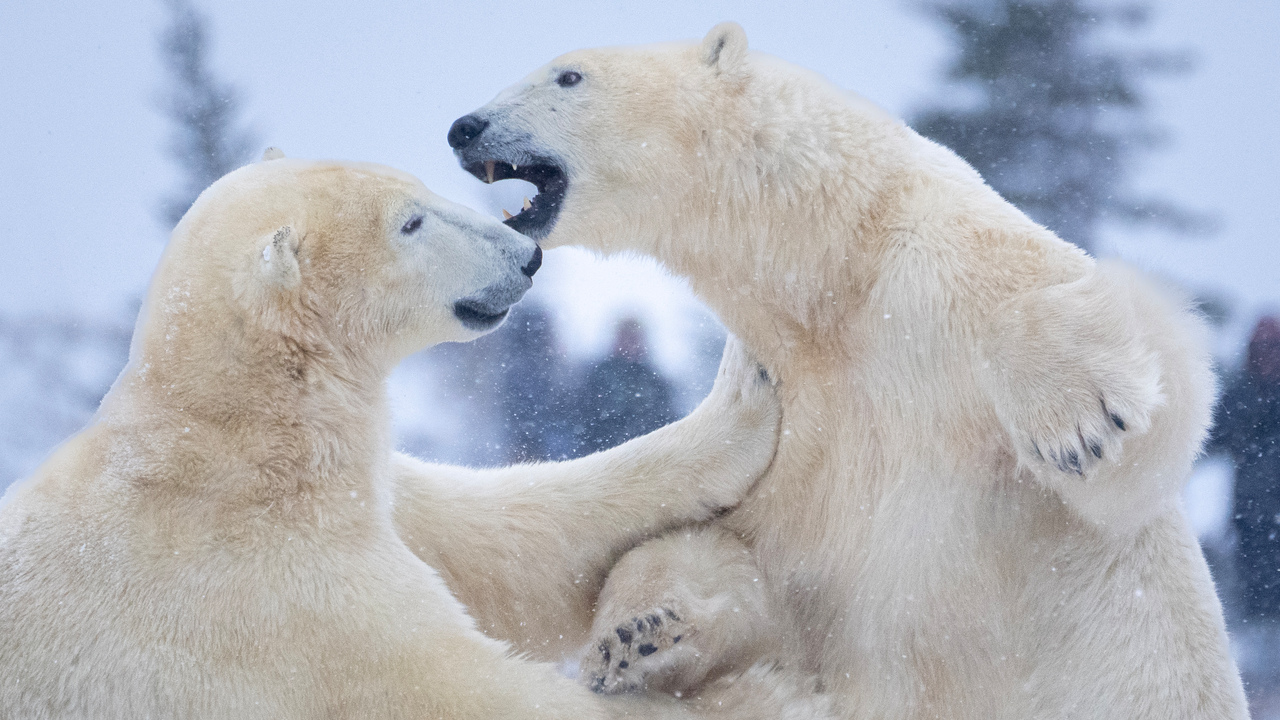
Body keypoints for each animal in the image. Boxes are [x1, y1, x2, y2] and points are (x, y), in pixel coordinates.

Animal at [0, 154, 827, 719]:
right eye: (411, 223)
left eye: (419, 194)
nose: (526, 255)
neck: (232, 443)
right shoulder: (270, 602)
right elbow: (463, 686)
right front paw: (760, 690)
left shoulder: (368, 493)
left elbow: (506, 540)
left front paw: (741, 391)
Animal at [443, 22, 1249, 719]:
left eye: (568, 75)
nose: (463, 127)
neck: (832, 282)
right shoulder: (796, 417)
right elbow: (726, 556)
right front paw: (638, 634)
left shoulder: (934, 272)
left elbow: (1140, 437)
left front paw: (1076, 424)